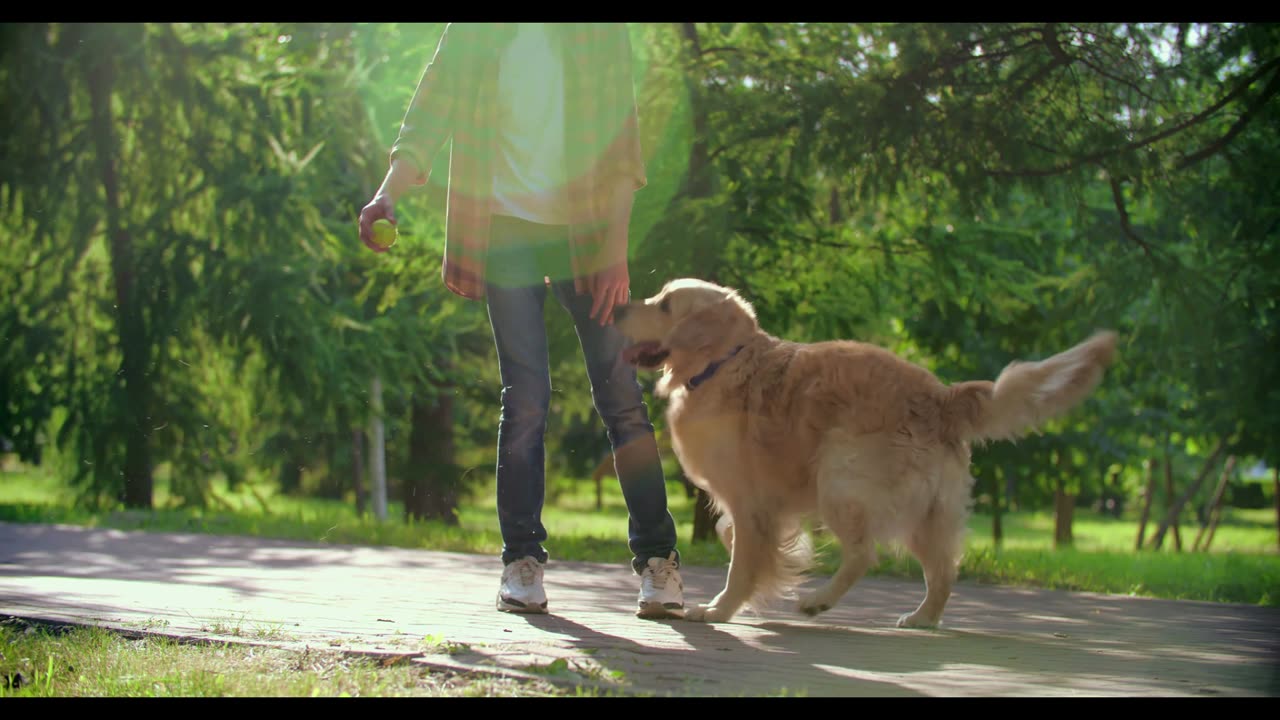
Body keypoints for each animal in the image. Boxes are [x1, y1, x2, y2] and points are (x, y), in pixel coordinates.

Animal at [614, 278, 1116, 625]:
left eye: (664, 304)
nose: (617, 306)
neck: (725, 362)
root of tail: (942, 396)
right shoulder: (761, 504)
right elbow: (732, 535)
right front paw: (786, 559)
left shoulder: (751, 498)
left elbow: (742, 562)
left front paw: (720, 609)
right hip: (927, 511)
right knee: (943, 570)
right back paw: (922, 619)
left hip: (840, 477)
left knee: (863, 555)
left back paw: (817, 601)